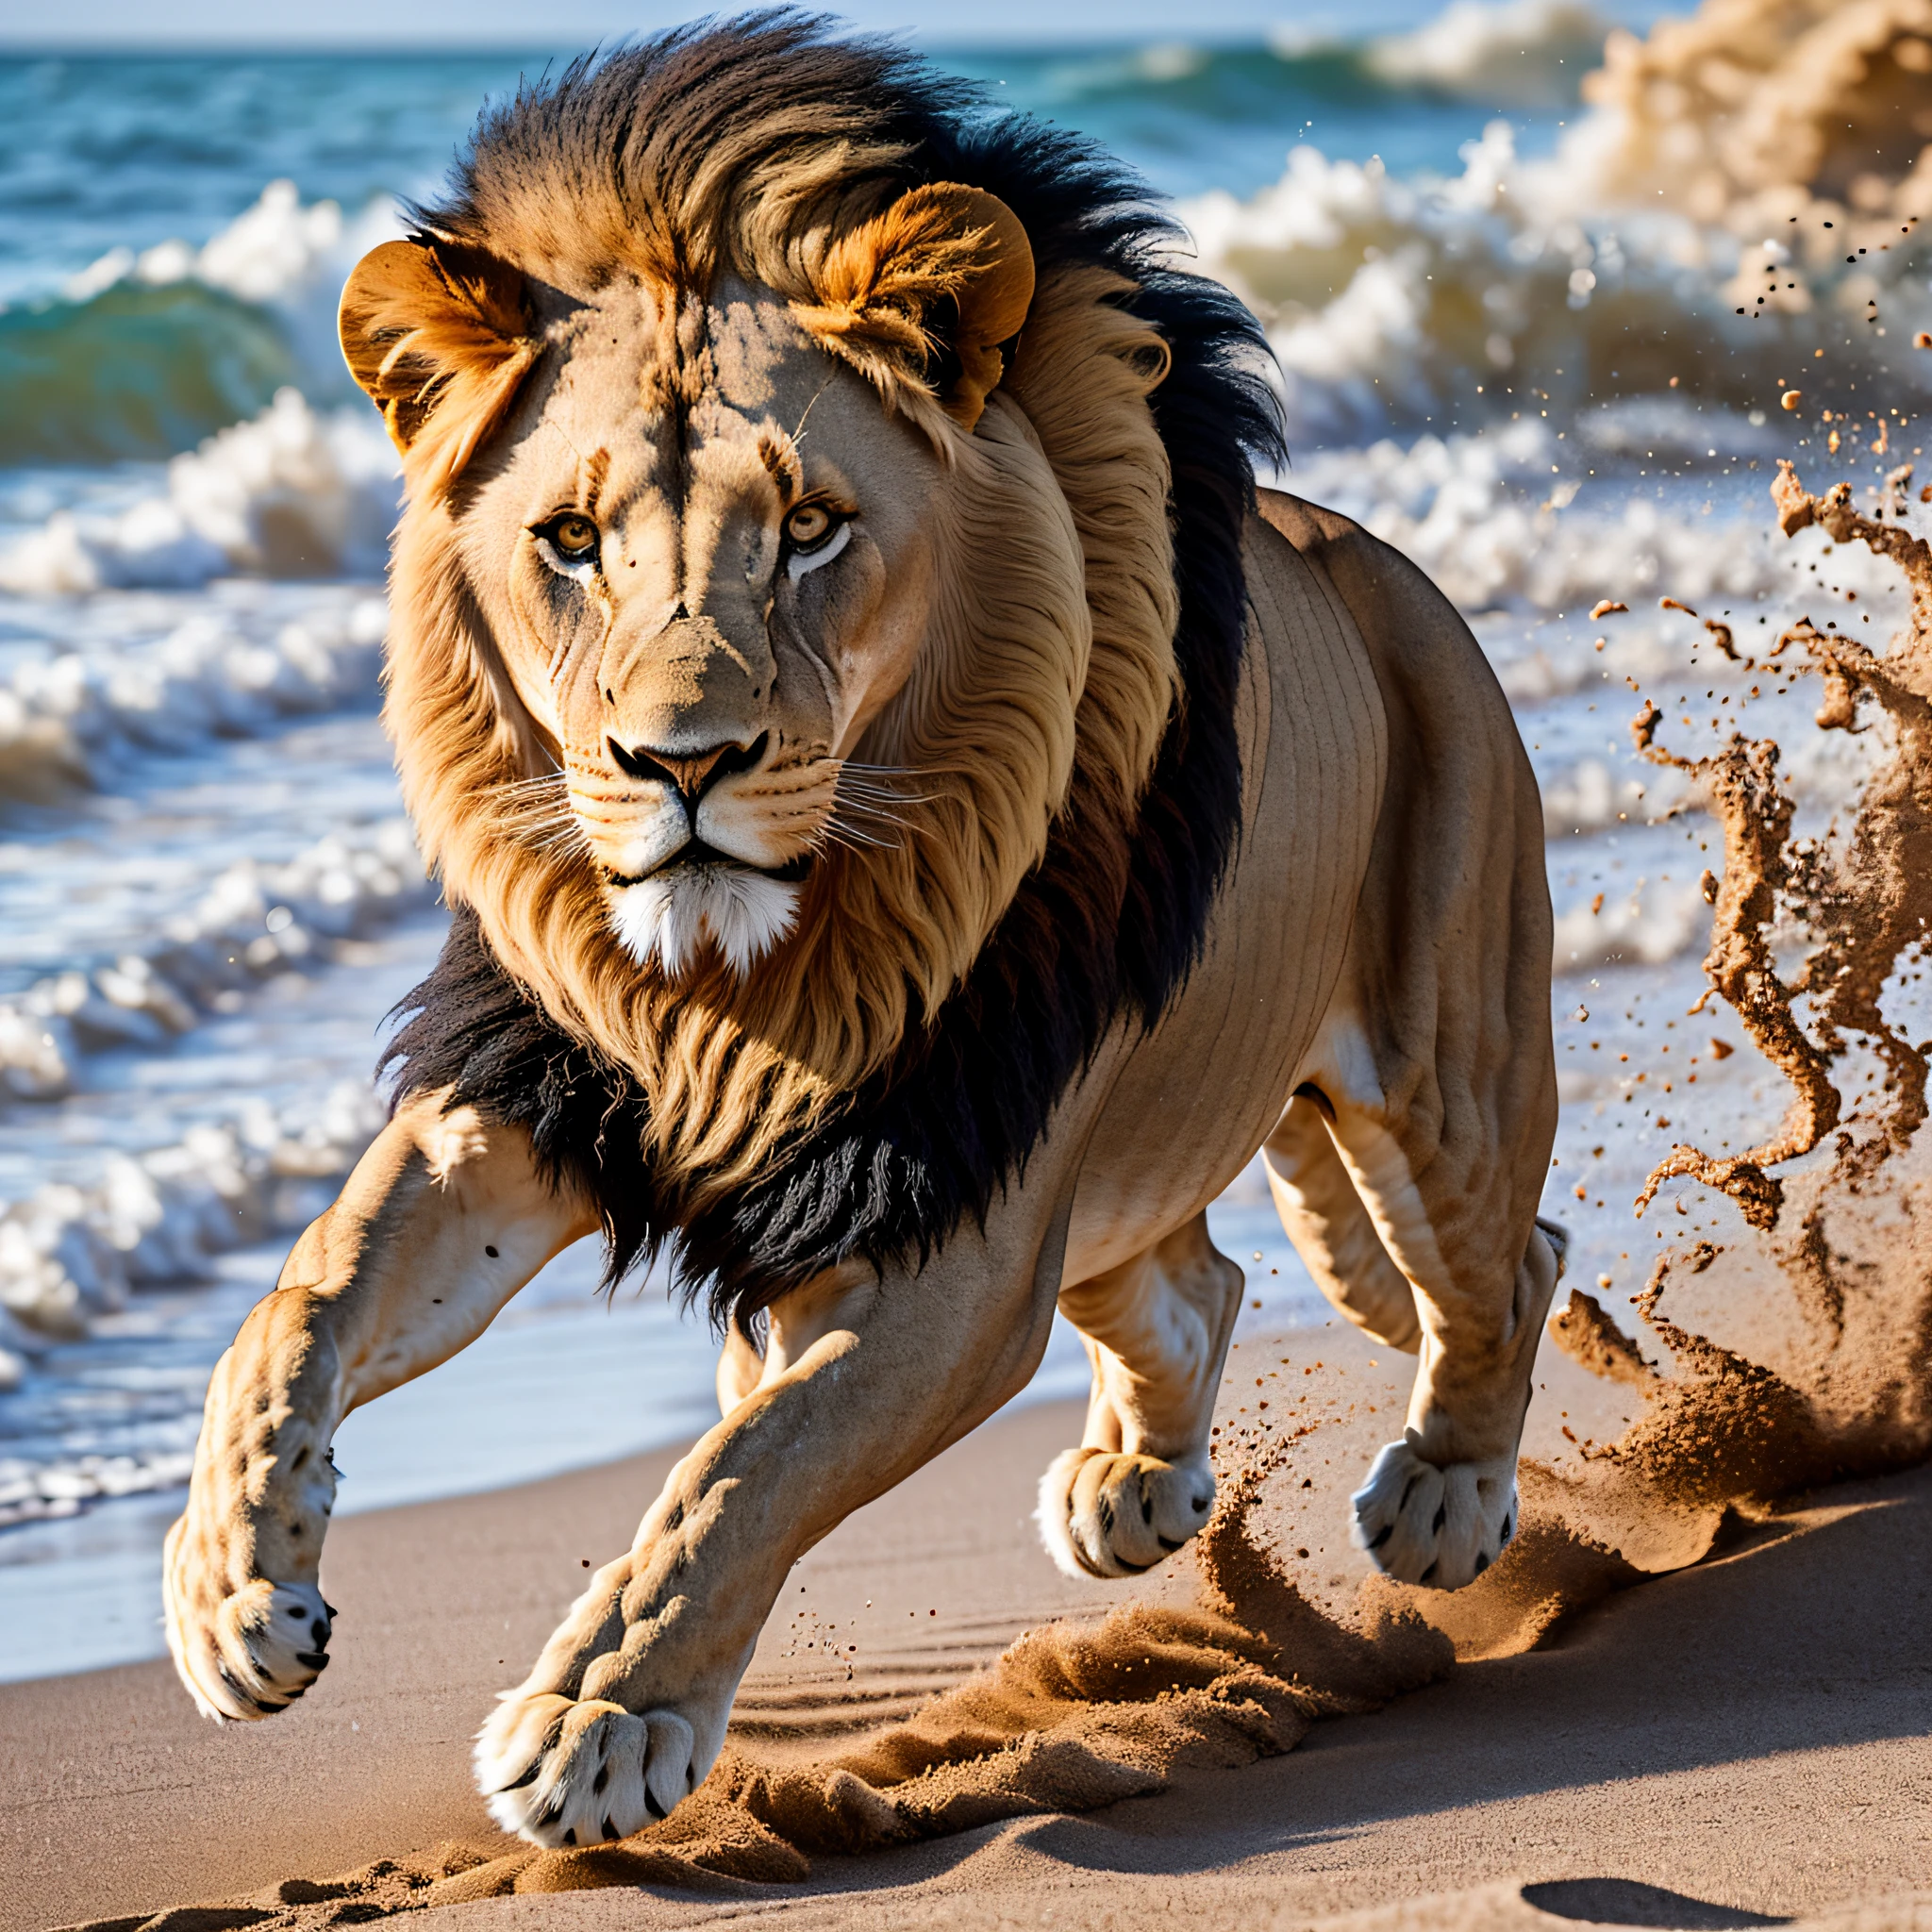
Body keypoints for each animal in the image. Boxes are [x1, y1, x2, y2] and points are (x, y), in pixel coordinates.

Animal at [158, 18, 1560, 1855]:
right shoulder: (530, 1098)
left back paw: (1446, 1496)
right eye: (569, 541)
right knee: (1200, 1279)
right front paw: (229, 1598)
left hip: (1430, 1076)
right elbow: (297, 1308)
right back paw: (1134, 1482)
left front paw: (598, 1722)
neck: (739, 978)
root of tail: (1386, 573)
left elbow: (742, 1471)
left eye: (811, 525)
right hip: (1117, 1175)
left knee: (1502, 1263)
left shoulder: (949, 1240)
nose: (679, 764)